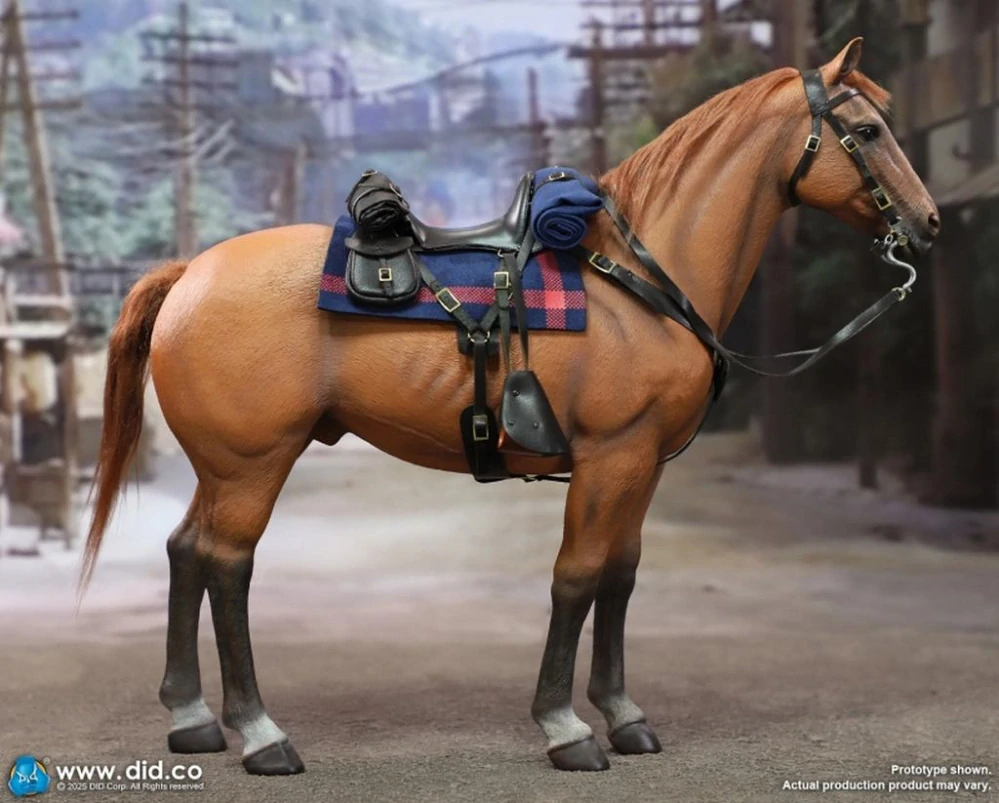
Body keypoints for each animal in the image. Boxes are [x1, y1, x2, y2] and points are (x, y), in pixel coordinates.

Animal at [81, 39, 938, 776]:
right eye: (866, 129)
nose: (927, 223)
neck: (636, 277)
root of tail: (191, 272)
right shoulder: (610, 456)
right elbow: (576, 577)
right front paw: (566, 728)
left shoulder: (641, 464)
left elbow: (620, 577)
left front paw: (623, 715)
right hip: (252, 465)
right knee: (227, 565)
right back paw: (261, 733)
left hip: (220, 467)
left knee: (185, 552)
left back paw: (192, 718)